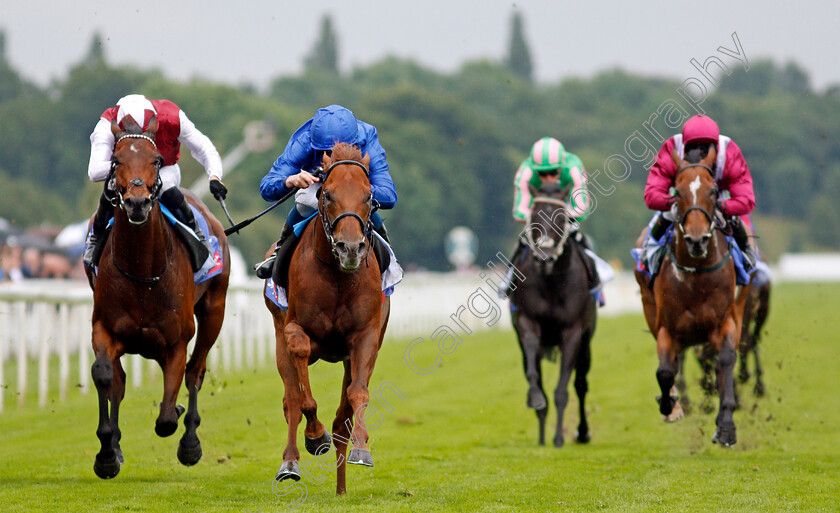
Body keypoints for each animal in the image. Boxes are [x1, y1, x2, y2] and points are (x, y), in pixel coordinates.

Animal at [85, 116, 230, 476]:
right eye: (116, 160)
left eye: (156, 160)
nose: (137, 202)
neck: (143, 271)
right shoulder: (104, 329)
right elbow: (106, 376)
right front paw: (107, 452)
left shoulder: (177, 339)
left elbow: (166, 417)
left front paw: (181, 426)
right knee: (121, 381)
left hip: (214, 311)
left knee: (195, 372)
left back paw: (190, 439)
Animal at [266, 142, 390, 494]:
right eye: (328, 194)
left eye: (369, 195)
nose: (350, 248)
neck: (337, 276)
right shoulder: (294, 330)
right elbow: (303, 399)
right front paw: (314, 436)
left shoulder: (366, 337)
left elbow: (357, 394)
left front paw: (362, 449)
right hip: (279, 339)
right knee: (292, 399)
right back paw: (290, 463)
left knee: (342, 414)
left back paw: (341, 486)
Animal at [508, 182, 600, 446]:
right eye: (534, 215)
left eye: (561, 218)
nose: (544, 257)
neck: (551, 282)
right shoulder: (527, 325)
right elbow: (533, 376)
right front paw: (536, 400)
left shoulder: (573, 333)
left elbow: (563, 389)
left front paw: (559, 438)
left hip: (587, 343)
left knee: (581, 384)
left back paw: (582, 432)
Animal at [632, 145, 752, 444]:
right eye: (678, 191)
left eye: (712, 191)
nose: (697, 241)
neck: (696, 274)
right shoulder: (667, 328)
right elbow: (665, 371)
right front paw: (669, 405)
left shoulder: (726, 322)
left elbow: (725, 361)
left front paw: (726, 426)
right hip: (649, 307)